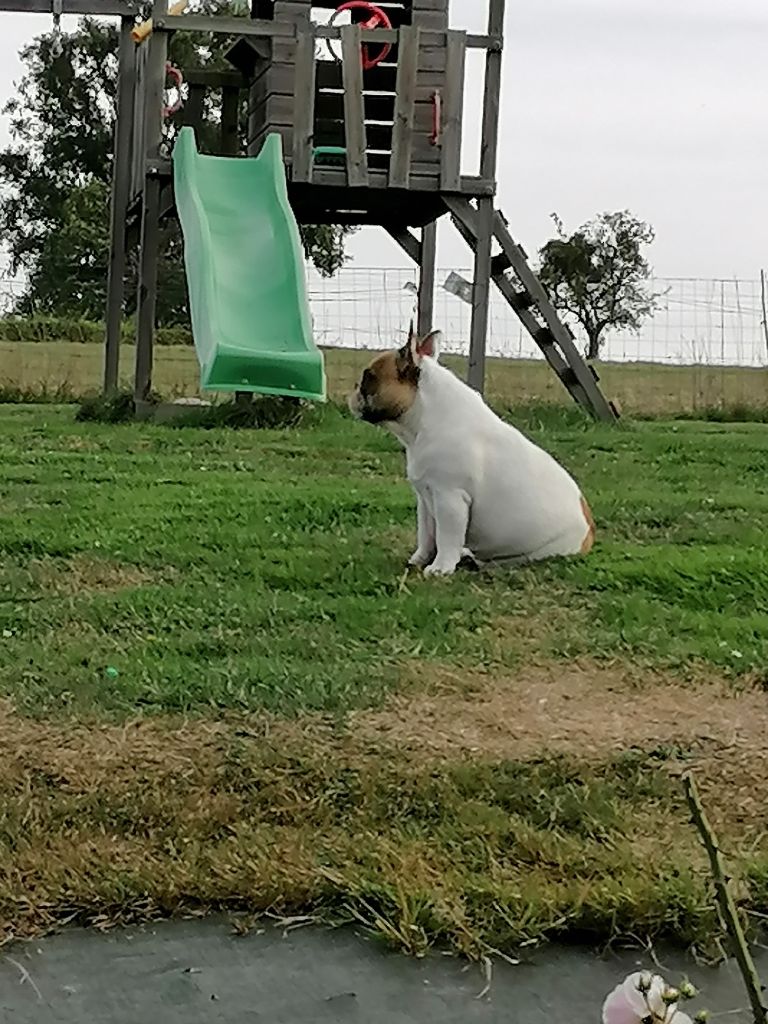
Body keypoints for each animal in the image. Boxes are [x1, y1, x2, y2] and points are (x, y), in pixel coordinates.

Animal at [348, 325, 593, 577]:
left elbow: (446, 537)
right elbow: (426, 535)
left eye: (368, 377)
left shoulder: (450, 498)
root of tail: (587, 537)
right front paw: (418, 559)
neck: (421, 422)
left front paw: (440, 568)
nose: (354, 388)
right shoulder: (425, 500)